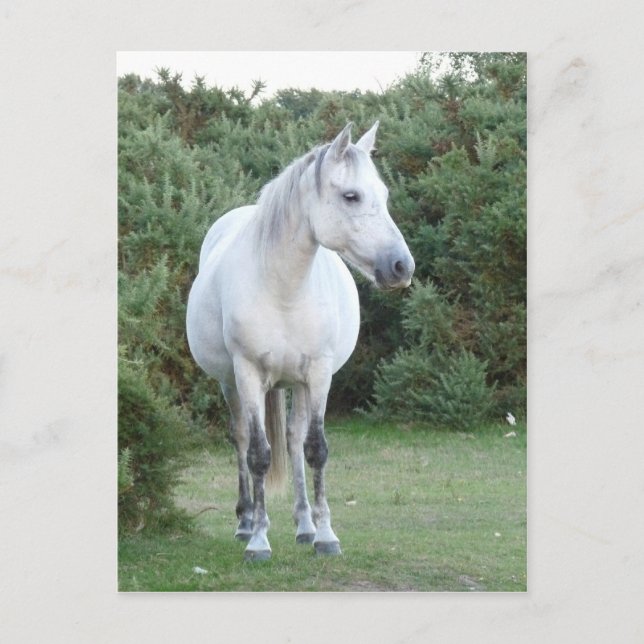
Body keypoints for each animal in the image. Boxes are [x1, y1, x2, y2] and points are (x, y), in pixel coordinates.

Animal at [186, 122, 414, 561]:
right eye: (351, 195)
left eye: (384, 196)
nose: (401, 266)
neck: (284, 289)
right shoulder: (247, 372)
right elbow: (258, 455)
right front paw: (258, 541)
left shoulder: (319, 373)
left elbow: (315, 449)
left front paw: (325, 535)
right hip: (231, 383)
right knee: (242, 438)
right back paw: (245, 522)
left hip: (297, 383)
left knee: (293, 440)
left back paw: (305, 525)